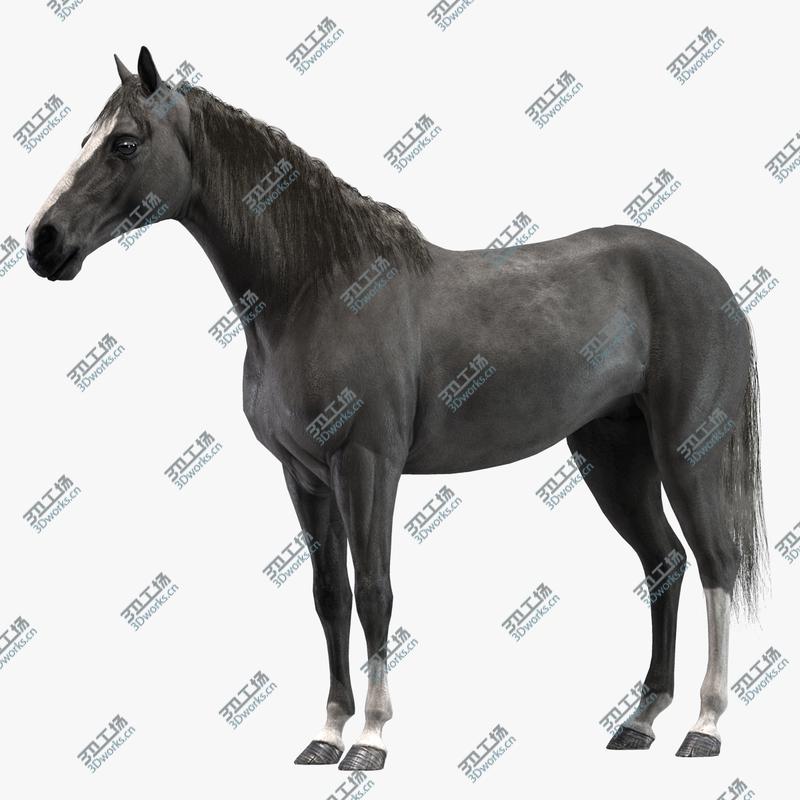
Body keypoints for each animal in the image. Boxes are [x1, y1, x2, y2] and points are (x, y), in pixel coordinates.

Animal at [26, 47, 768, 770]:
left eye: (124, 143)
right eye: (85, 137)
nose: (42, 241)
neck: (315, 289)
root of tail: (712, 281)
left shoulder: (367, 464)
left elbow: (376, 590)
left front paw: (372, 738)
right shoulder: (304, 477)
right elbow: (330, 596)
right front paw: (327, 733)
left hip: (686, 453)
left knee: (716, 563)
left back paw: (704, 726)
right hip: (611, 456)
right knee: (663, 563)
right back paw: (641, 721)